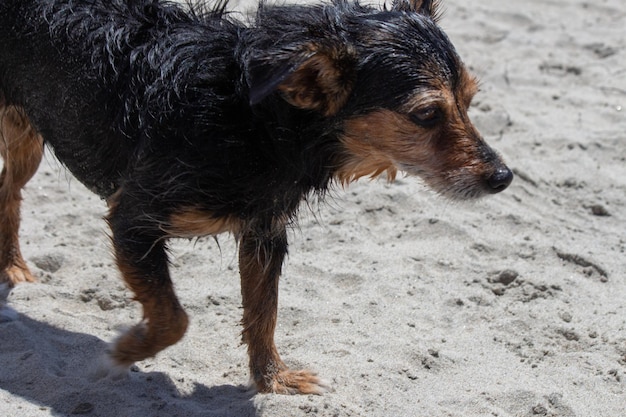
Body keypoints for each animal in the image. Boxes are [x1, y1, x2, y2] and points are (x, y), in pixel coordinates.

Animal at [0, 0, 512, 394]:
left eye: (469, 100)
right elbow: (173, 319)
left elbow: (264, 312)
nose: (503, 177)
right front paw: (124, 352)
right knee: (10, 191)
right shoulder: (134, 220)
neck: (253, 121)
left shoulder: (264, 232)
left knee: (8, 189)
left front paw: (272, 379)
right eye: (426, 114)